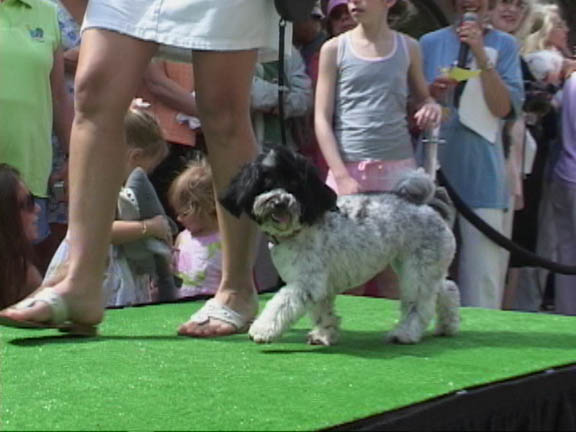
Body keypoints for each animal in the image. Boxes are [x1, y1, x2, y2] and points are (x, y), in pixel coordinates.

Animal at [220, 147, 460, 345]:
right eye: (267, 182)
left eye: (295, 185)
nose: (279, 202)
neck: (300, 229)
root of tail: (428, 206)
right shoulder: (320, 287)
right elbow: (322, 312)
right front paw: (324, 335)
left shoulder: (306, 283)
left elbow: (281, 304)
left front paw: (263, 329)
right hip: (417, 267)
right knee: (447, 289)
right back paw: (447, 326)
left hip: (417, 272)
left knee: (419, 305)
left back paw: (405, 333)